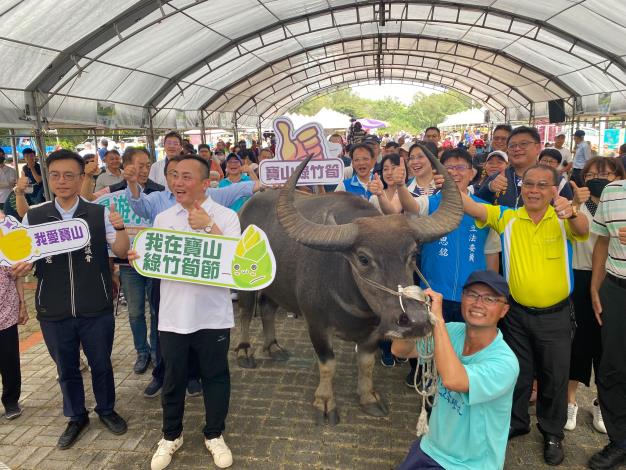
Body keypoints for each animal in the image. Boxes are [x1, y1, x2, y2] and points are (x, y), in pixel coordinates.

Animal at [233, 149, 458, 424]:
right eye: (363, 258)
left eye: (413, 254)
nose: (415, 321)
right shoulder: (316, 324)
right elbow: (328, 364)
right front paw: (325, 402)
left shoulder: (376, 329)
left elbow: (366, 363)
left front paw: (369, 397)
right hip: (244, 282)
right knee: (246, 311)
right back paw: (245, 351)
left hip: (277, 285)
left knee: (267, 308)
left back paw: (273, 346)